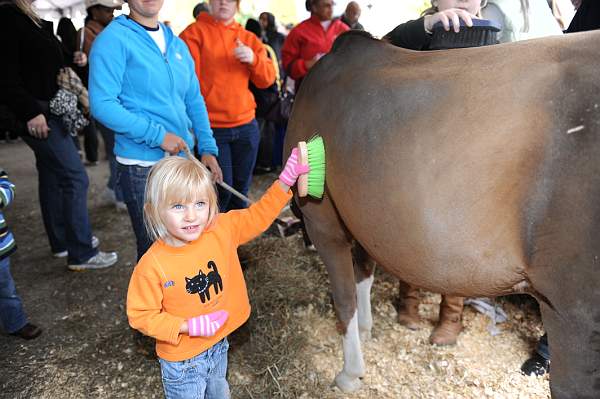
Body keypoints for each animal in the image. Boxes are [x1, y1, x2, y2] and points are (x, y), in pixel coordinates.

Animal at [284, 29, 600, 398]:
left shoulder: (322, 219)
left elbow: (344, 298)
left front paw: (349, 374)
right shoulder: (359, 218)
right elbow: (364, 274)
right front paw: (366, 330)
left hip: (575, 318)